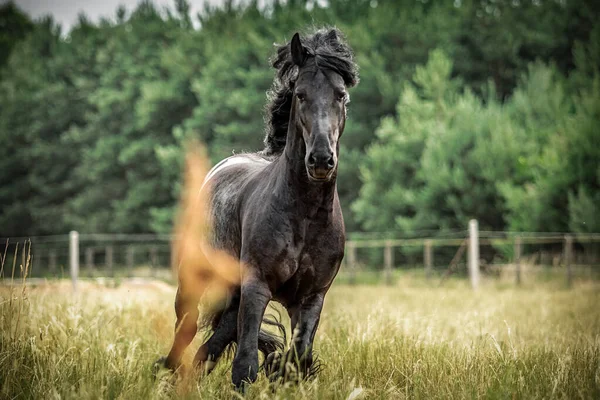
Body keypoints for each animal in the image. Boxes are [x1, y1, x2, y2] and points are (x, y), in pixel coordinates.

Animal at [157, 28, 358, 390]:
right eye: (301, 95)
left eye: (341, 95)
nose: (321, 159)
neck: (304, 216)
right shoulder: (257, 285)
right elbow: (246, 365)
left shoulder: (311, 298)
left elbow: (296, 360)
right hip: (195, 276)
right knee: (187, 328)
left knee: (214, 342)